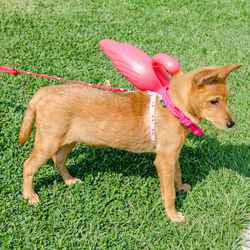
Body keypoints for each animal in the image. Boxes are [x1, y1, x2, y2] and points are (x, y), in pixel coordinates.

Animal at [19, 64, 242, 223]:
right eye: (214, 101)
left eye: (226, 99)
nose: (231, 124)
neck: (172, 107)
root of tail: (44, 91)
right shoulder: (164, 161)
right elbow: (168, 194)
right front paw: (173, 216)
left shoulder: (172, 154)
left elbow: (177, 175)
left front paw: (180, 187)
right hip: (48, 141)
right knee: (28, 165)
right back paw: (29, 195)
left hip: (68, 140)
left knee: (58, 160)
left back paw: (69, 180)